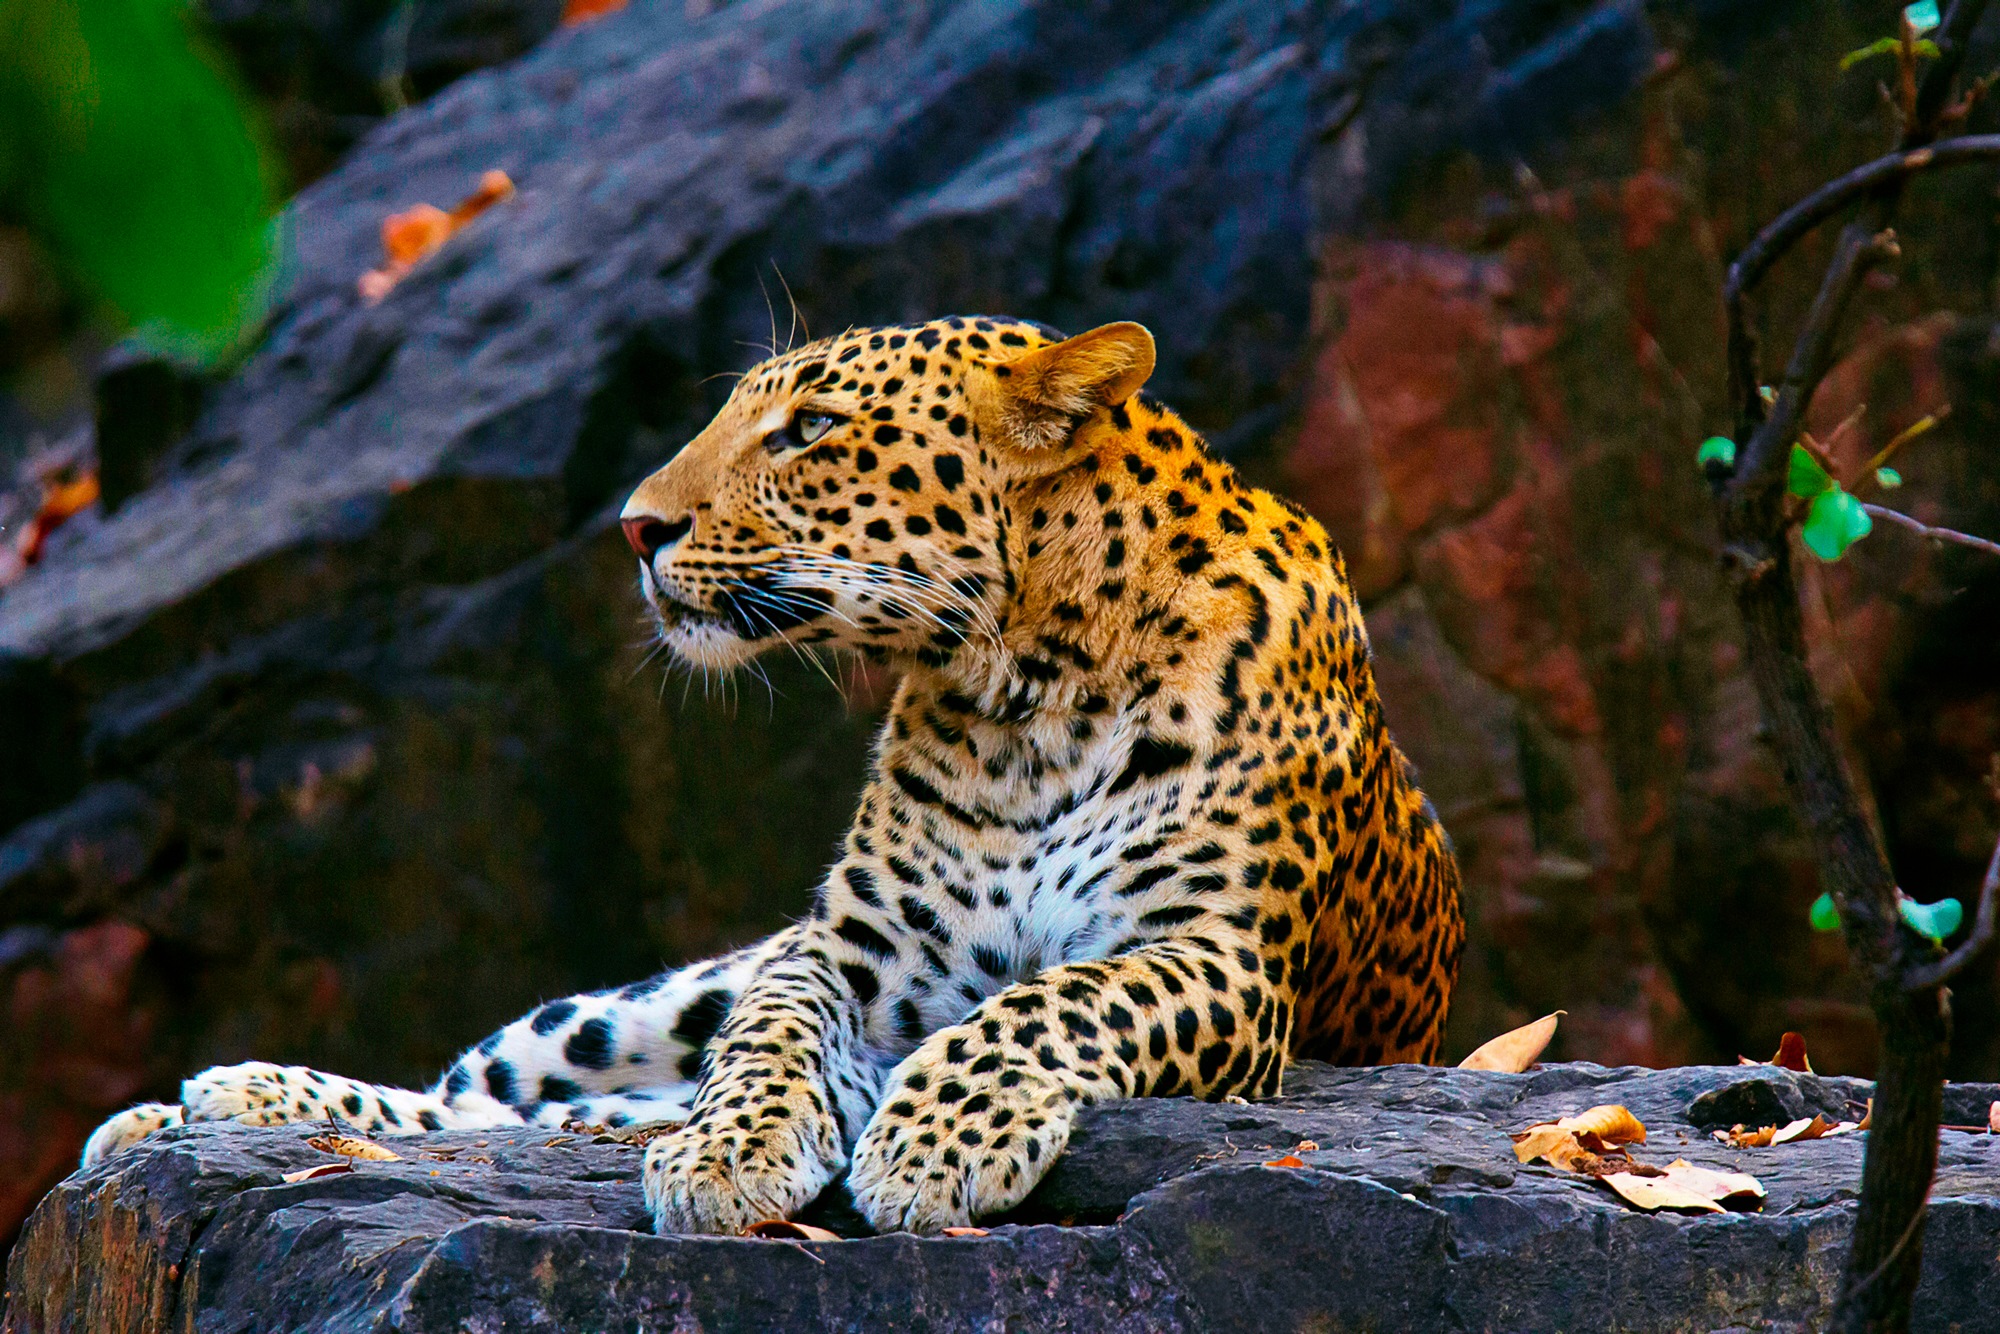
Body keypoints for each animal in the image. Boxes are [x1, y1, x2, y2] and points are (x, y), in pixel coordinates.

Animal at [81, 316, 1464, 1236]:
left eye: (808, 431)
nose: (634, 528)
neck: (1027, 690)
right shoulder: (844, 950)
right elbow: (769, 1030)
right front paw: (728, 1151)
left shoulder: (1217, 954)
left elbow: (1053, 1000)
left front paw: (932, 1142)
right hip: (627, 1005)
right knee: (493, 1092)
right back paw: (219, 1101)